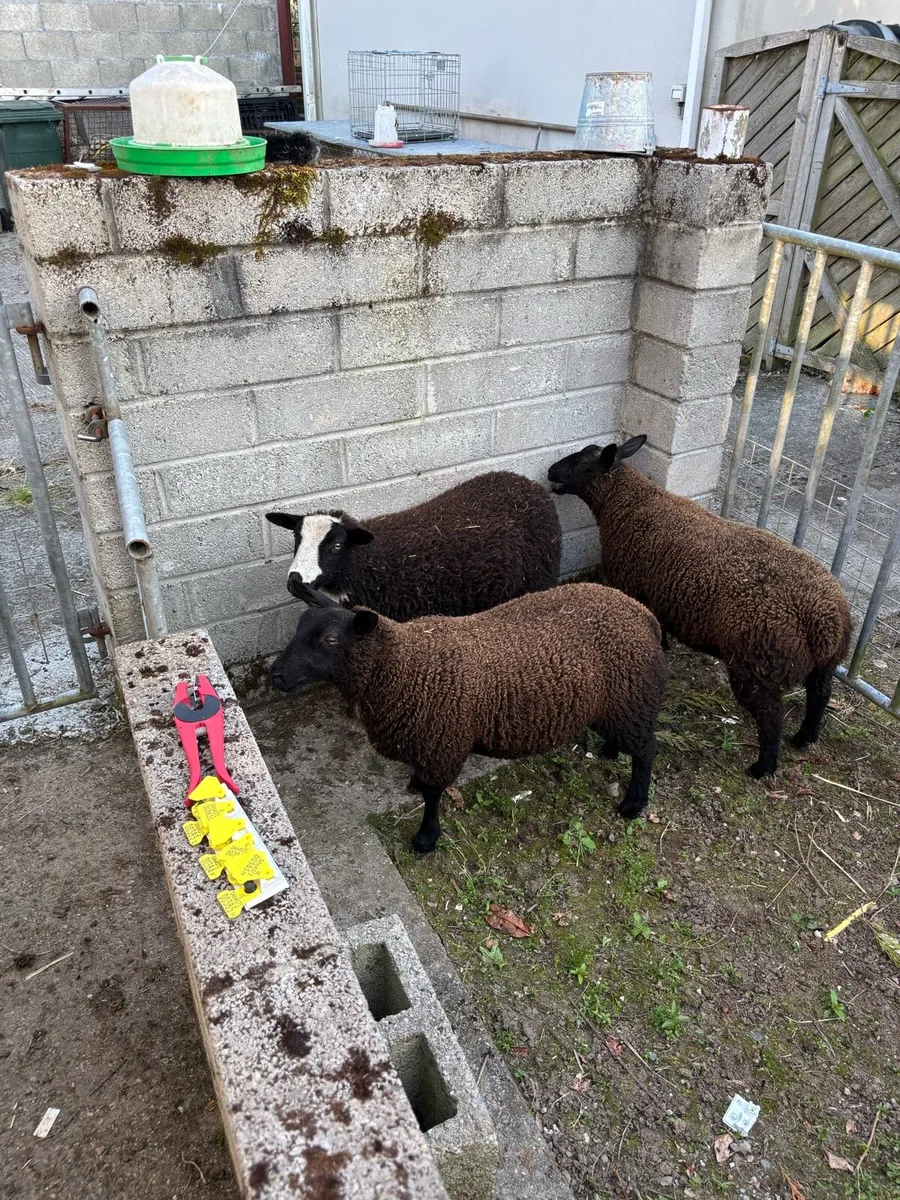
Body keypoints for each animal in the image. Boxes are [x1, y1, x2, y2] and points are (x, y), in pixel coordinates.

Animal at [270, 581, 669, 854]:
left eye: (331, 640)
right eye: (300, 626)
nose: (276, 675)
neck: (403, 665)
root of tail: (644, 615)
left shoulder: (441, 742)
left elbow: (433, 796)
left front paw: (426, 839)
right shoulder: (428, 744)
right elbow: (424, 783)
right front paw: (414, 785)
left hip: (631, 700)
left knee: (647, 750)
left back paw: (633, 804)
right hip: (618, 705)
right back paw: (610, 752)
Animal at [547, 435, 852, 778]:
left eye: (581, 463)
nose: (550, 471)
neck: (628, 505)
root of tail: (824, 623)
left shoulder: (632, 586)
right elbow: (659, 621)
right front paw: (664, 645)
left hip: (758, 666)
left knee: (772, 718)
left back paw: (762, 767)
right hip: (824, 665)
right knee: (820, 696)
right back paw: (805, 738)